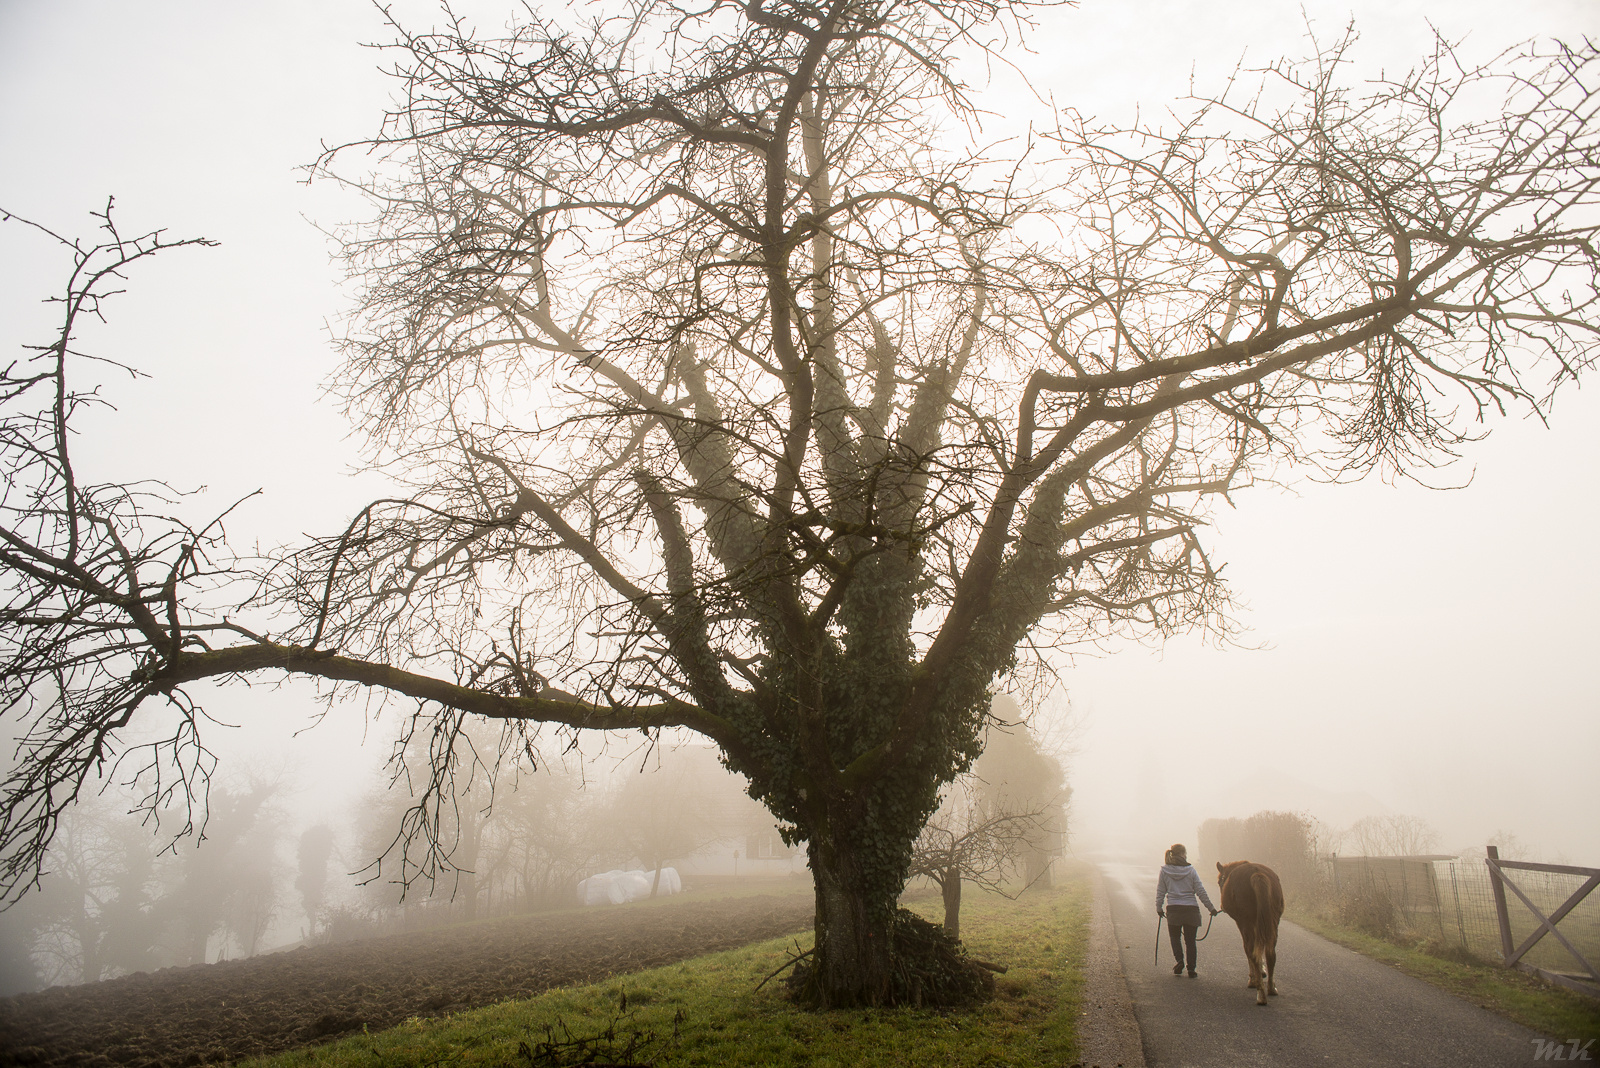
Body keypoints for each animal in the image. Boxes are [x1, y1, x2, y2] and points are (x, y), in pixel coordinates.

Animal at [1216, 856, 1280, 1004]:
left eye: (1220, 881)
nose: (1222, 906)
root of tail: (1257, 874)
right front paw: (1261, 972)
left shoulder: (1243, 924)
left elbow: (1248, 950)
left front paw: (1254, 978)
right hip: (1273, 923)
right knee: (1270, 952)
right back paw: (1271, 988)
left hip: (1247, 923)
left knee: (1251, 949)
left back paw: (1260, 993)